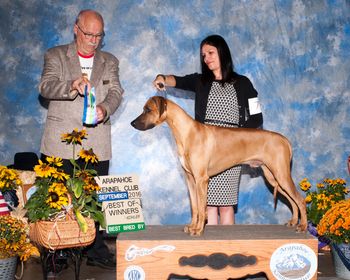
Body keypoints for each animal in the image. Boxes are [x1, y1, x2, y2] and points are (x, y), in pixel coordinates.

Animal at [131, 96, 306, 236]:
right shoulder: (190, 179)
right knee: (292, 200)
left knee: (300, 200)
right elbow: (195, 207)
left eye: (147, 109)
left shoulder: (201, 179)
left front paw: (198, 229)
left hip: (281, 175)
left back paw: (303, 226)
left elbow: (201, 207)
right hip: (273, 177)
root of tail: (285, 140)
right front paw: (192, 226)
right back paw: (293, 222)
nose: (132, 123)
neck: (186, 133)